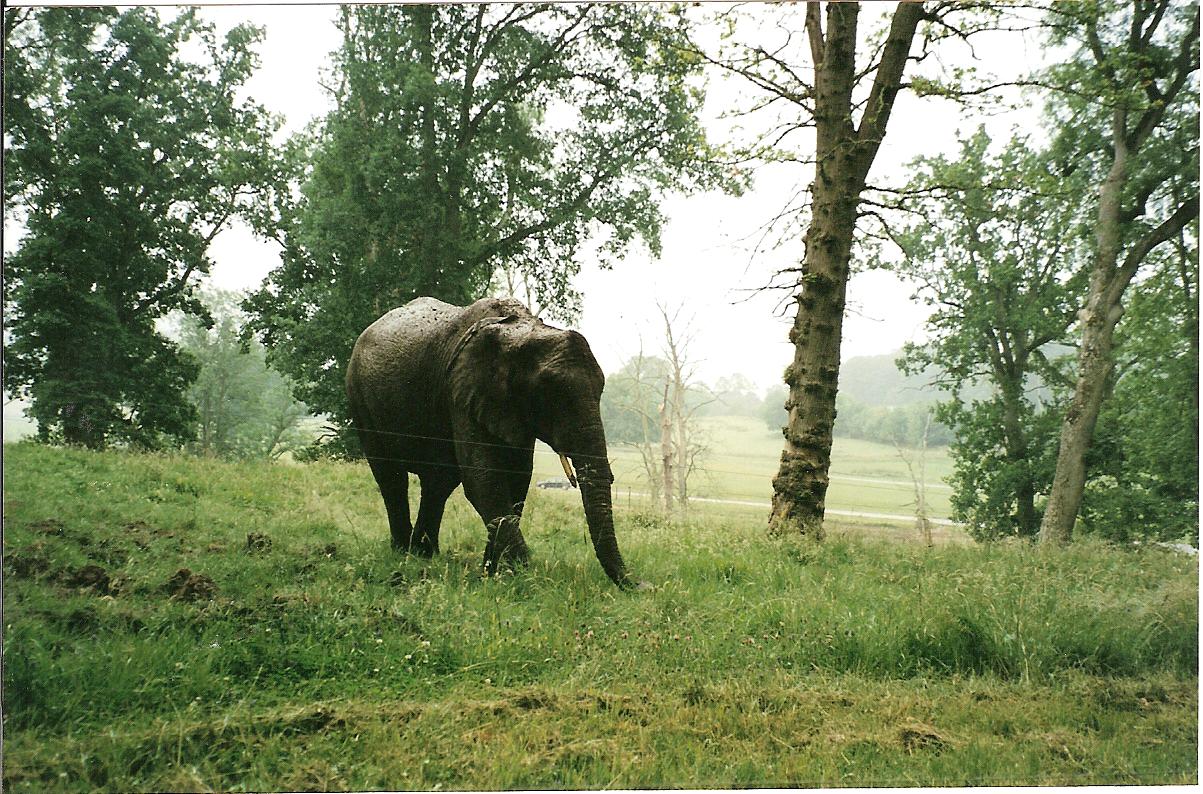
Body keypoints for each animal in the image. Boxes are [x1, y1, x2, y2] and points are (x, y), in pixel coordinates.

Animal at [345, 296, 635, 588]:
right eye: (550, 396)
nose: (639, 585)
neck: (521, 332)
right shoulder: (462, 392)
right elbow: (484, 479)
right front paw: (524, 575)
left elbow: (517, 478)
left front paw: (494, 573)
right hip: (359, 397)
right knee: (391, 476)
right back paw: (403, 552)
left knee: (438, 482)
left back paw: (424, 554)